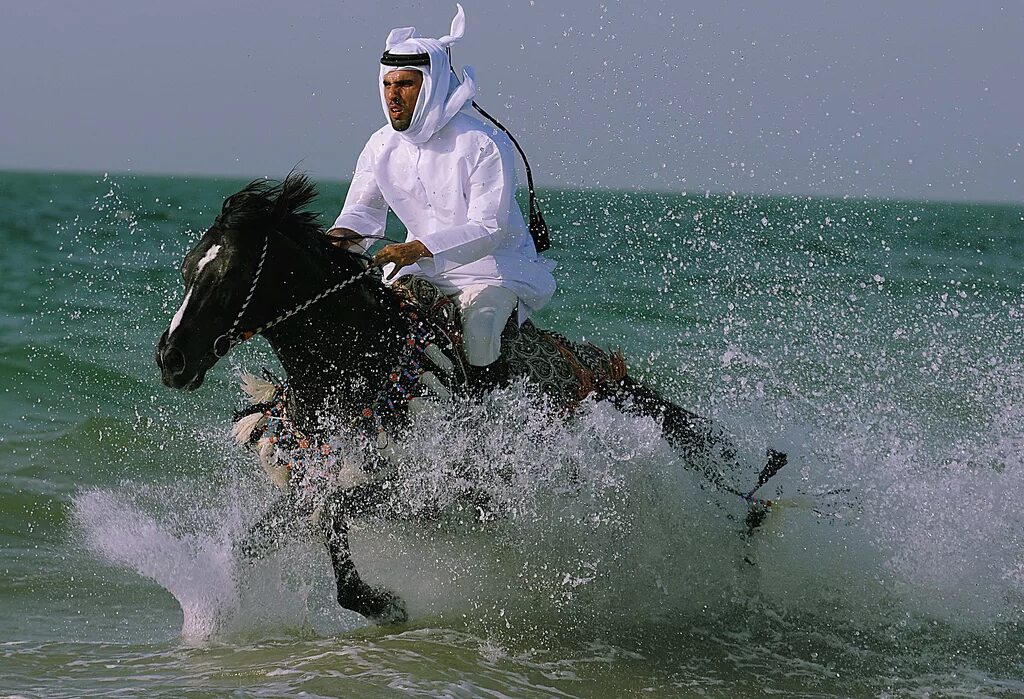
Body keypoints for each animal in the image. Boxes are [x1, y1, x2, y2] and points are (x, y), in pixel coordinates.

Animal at [155, 175, 786, 622]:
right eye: (187, 269)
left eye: (229, 273)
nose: (171, 359)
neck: (366, 363)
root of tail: (598, 370)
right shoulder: (313, 484)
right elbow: (256, 541)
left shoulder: (427, 493)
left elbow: (336, 519)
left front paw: (382, 604)